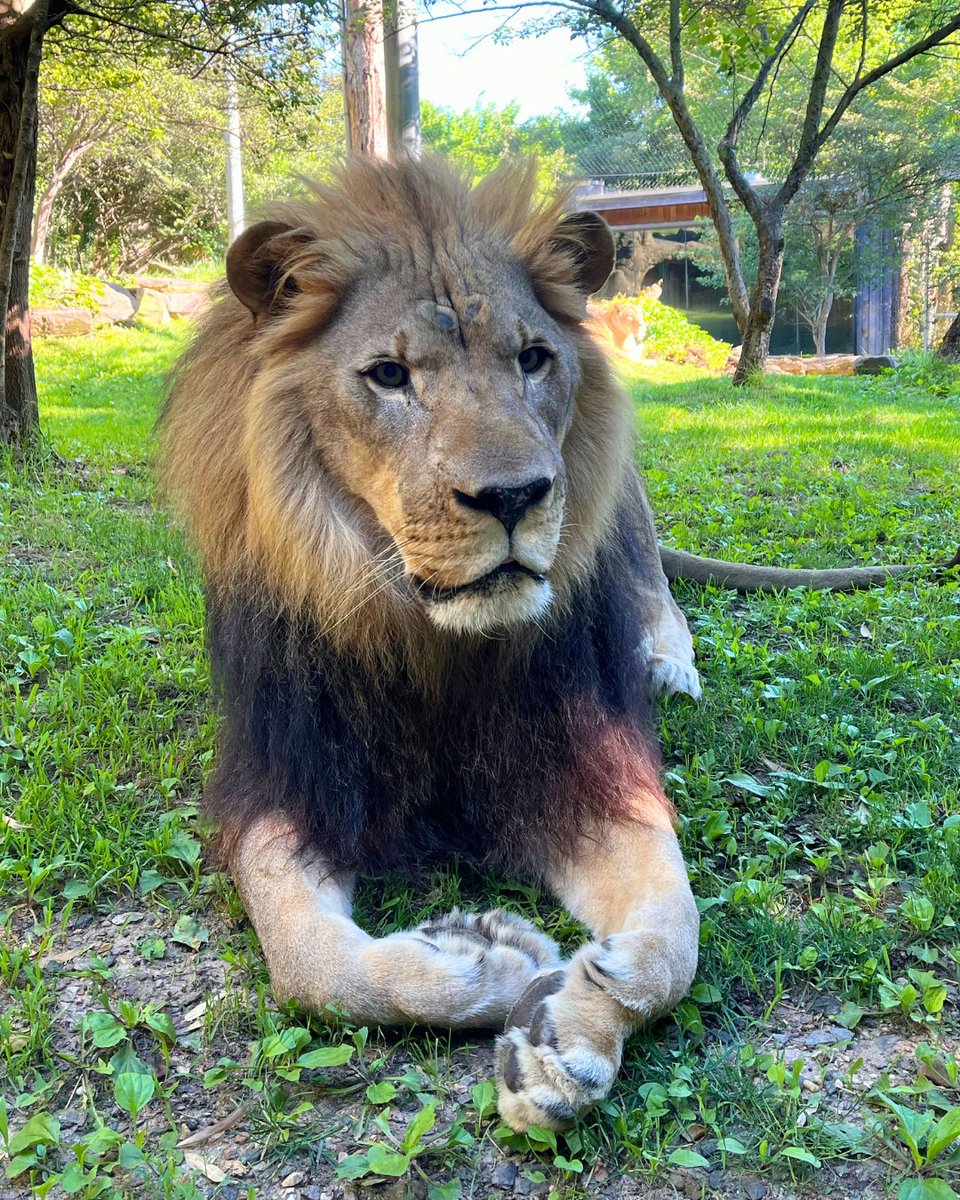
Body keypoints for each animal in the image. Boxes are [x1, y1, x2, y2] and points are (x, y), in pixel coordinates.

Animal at [159, 156, 929, 1132]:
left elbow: (678, 932)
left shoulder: (587, 768)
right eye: (387, 375)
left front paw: (576, 1019)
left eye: (533, 359)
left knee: (657, 595)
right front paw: (483, 960)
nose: (515, 495)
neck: (438, 645)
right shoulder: (282, 781)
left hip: (627, 501)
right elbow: (310, 964)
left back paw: (667, 668)